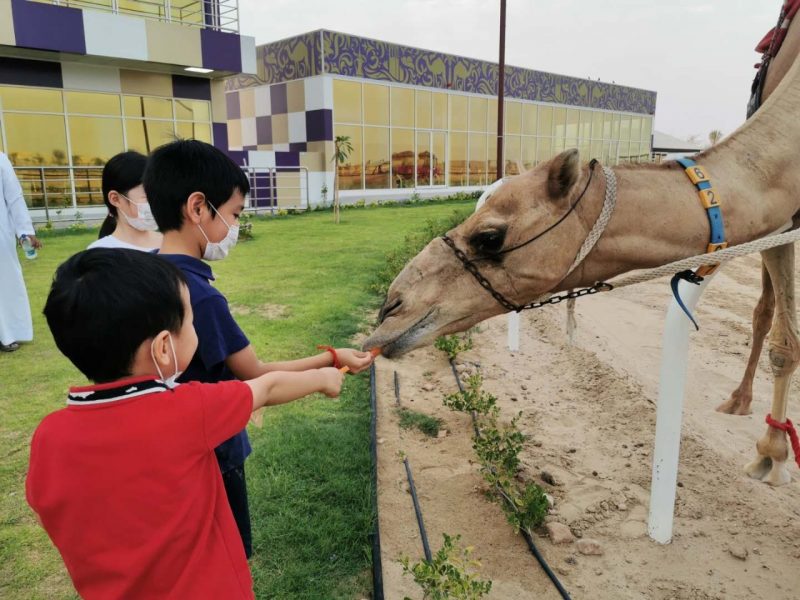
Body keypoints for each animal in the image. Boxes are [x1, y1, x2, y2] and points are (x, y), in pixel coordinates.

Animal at [366, 18, 800, 488]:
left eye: (489, 237)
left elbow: (787, 341)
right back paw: (739, 402)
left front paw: (773, 458)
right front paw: (771, 454)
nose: (390, 310)